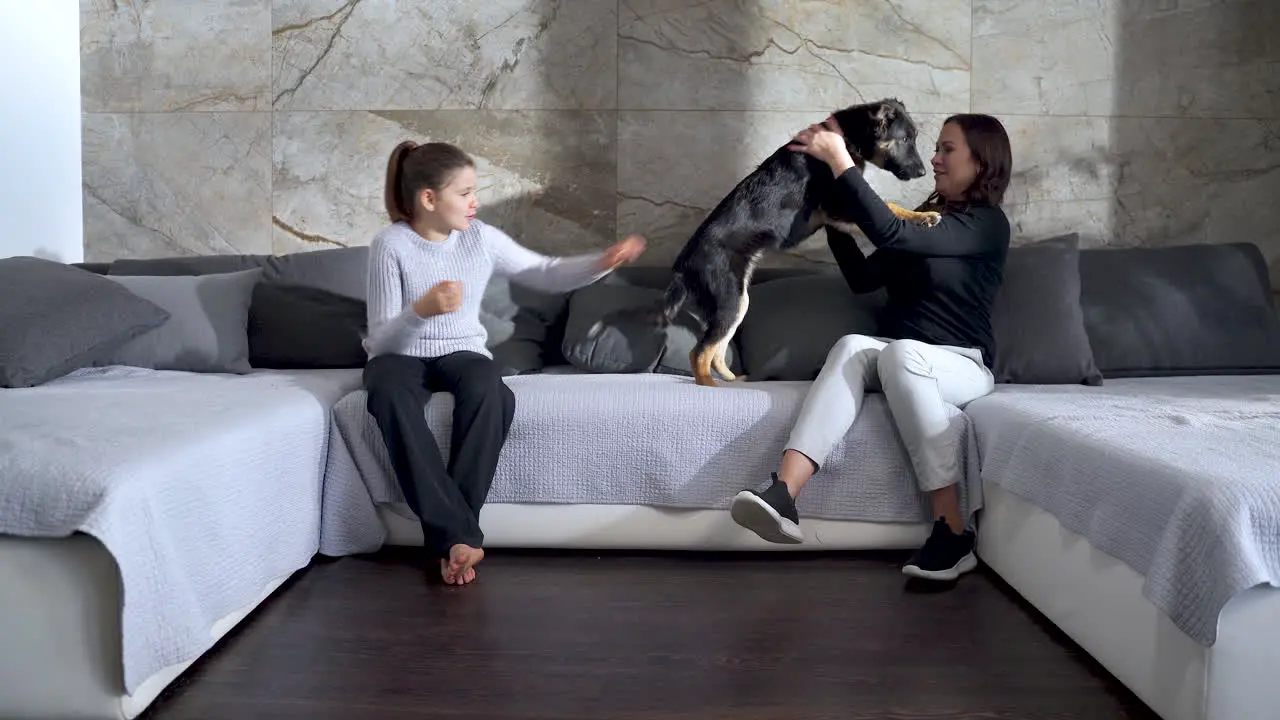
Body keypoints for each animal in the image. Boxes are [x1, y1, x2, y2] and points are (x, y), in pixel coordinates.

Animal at [599, 99, 942, 386]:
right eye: (905, 139)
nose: (923, 171)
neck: (846, 136)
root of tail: (682, 267)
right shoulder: (839, 206)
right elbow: (888, 206)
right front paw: (923, 216)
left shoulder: (836, 213)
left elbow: (886, 207)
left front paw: (922, 214)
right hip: (730, 299)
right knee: (700, 353)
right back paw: (710, 388)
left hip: (738, 302)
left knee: (716, 351)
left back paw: (733, 382)